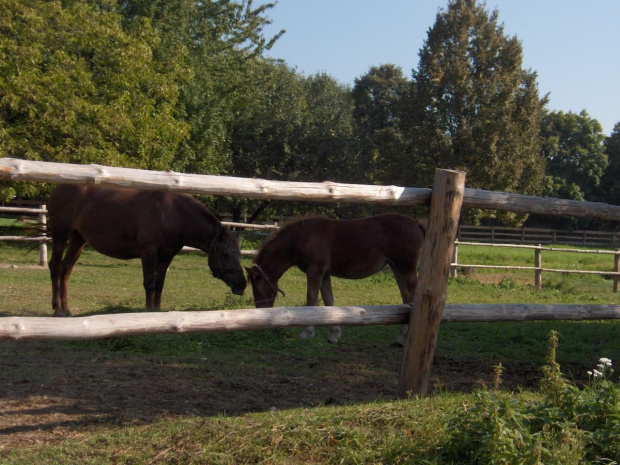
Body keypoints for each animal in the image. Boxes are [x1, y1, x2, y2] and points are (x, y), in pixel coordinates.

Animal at [47, 183, 246, 318]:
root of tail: (58, 188)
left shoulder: (166, 257)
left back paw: (66, 309)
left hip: (78, 239)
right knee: (55, 266)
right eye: (225, 254)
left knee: (66, 269)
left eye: (238, 254)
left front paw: (156, 310)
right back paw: (58, 309)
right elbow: (149, 283)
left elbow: (159, 285)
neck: (172, 213)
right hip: (60, 235)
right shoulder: (149, 252)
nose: (242, 285)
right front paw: (148, 311)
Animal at [247, 212, 426, 342]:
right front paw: (334, 333)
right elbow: (329, 301)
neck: (303, 237)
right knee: (406, 298)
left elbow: (311, 299)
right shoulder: (324, 275)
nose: (260, 311)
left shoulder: (315, 271)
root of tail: (416, 222)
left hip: (406, 268)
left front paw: (307, 332)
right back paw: (401, 337)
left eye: (257, 288)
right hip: (397, 268)